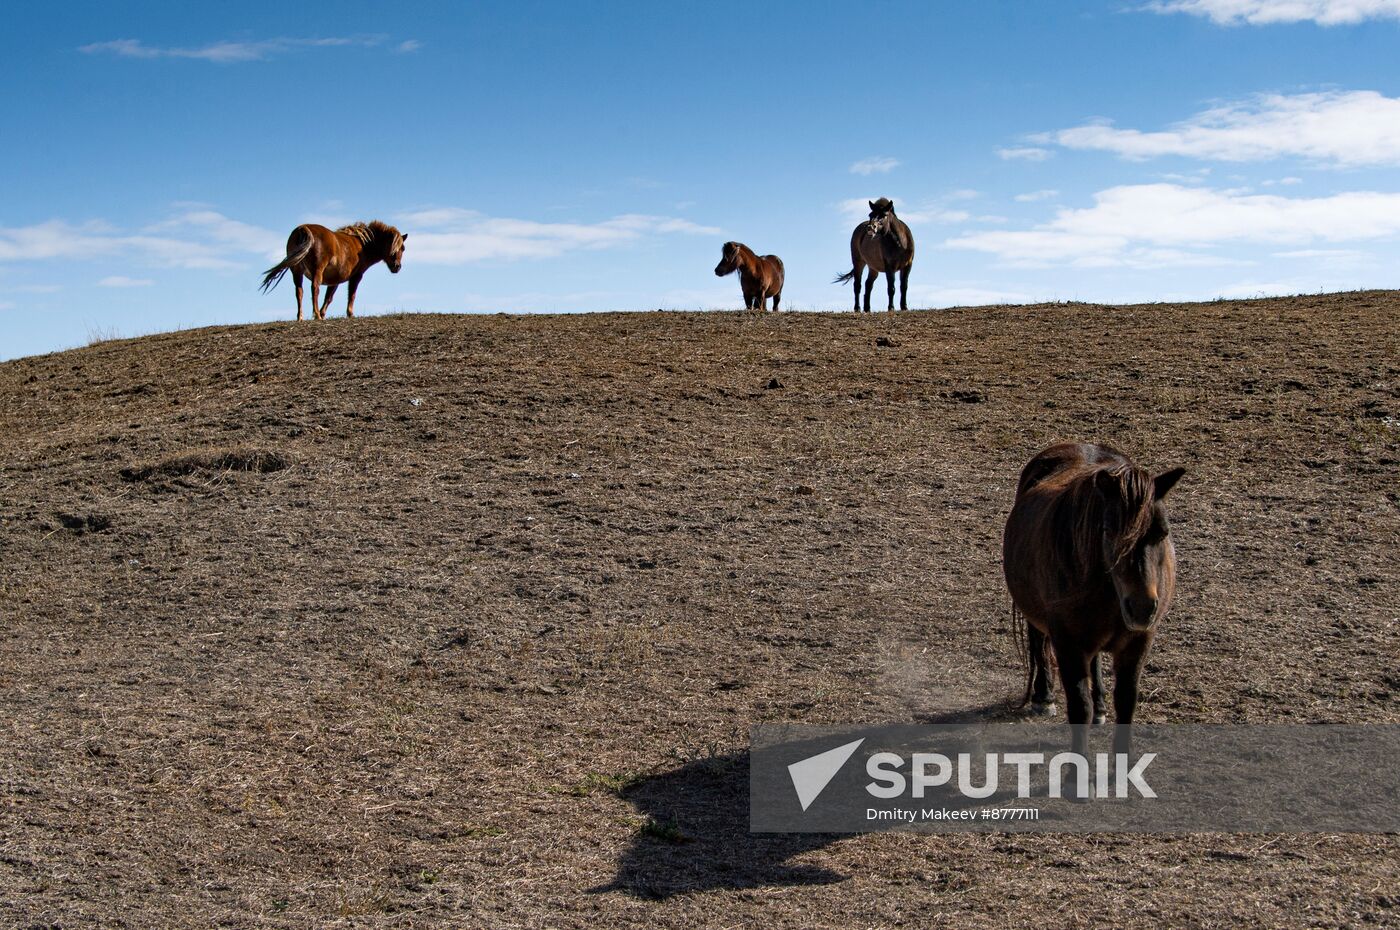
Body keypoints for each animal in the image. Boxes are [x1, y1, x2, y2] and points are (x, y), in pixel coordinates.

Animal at [261, 221, 406, 319]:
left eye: (403, 248)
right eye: (397, 247)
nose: (397, 267)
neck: (363, 244)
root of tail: (303, 228)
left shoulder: (335, 280)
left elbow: (329, 298)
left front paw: (324, 313)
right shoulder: (356, 276)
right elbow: (352, 294)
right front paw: (350, 314)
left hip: (297, 272)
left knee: (299, 292)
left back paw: (301, 317)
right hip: (317, 270)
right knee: (314, 288)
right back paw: (316, 315)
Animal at [1002, 442, 1187, 767]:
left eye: (1163, 532)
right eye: (1109, 531)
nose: (1142, 608)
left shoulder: (1138, 642)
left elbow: (1126, 701)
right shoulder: (1068, 644)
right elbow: (1079, 707)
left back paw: (1101, 705)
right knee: (1038, 642)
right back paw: (1043, 697)